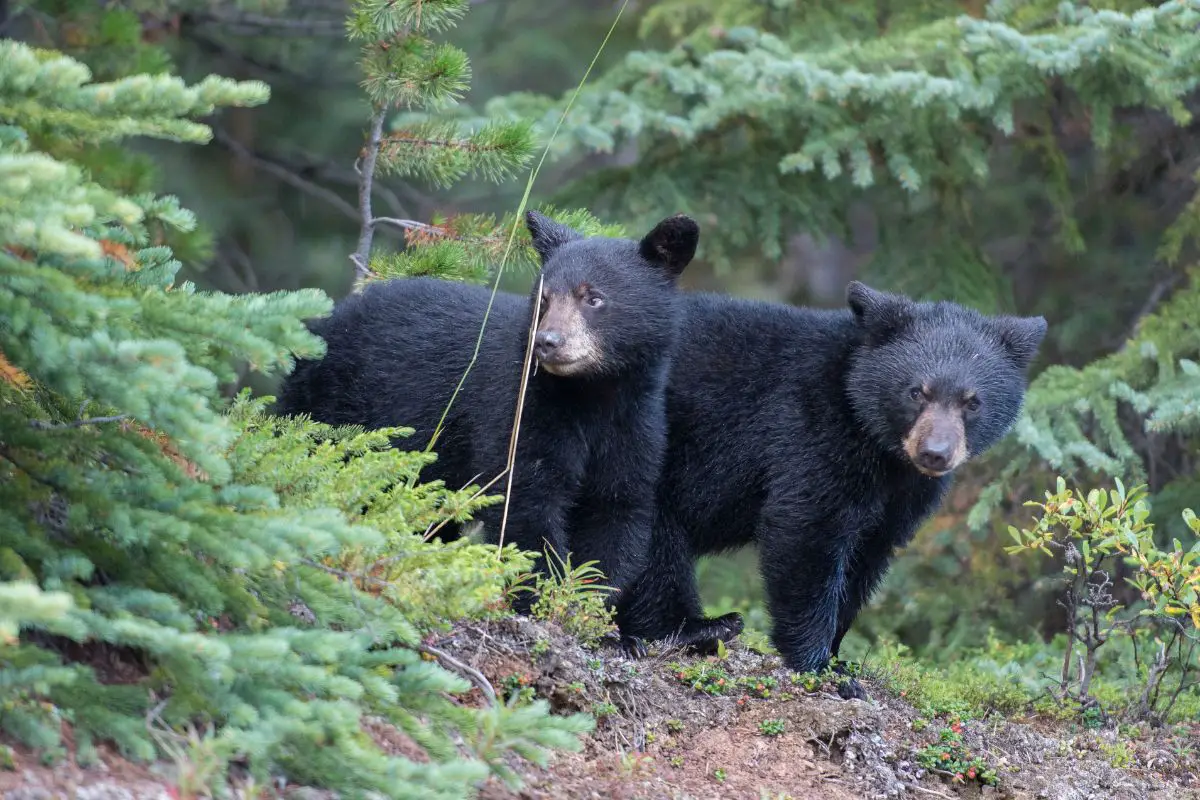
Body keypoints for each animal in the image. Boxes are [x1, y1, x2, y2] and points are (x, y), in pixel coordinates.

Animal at [274, 209, 700, 604]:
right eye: (543, 299)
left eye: (593, 298)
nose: (548, 341)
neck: (592, 394)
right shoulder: (519, 407)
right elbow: (524, 499)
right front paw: (541, 595)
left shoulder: (636, 424)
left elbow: (616, 507)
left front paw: (586, 600)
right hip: (326, 409)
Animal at [614, 281, 1046, 695]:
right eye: (916, 392)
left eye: (972, 402)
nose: (935, 453)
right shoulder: (811, 429)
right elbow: (807, 528)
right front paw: (820, 665)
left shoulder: (903, 494)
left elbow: (867, 555)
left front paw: (840, 655)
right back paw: (698, 627)